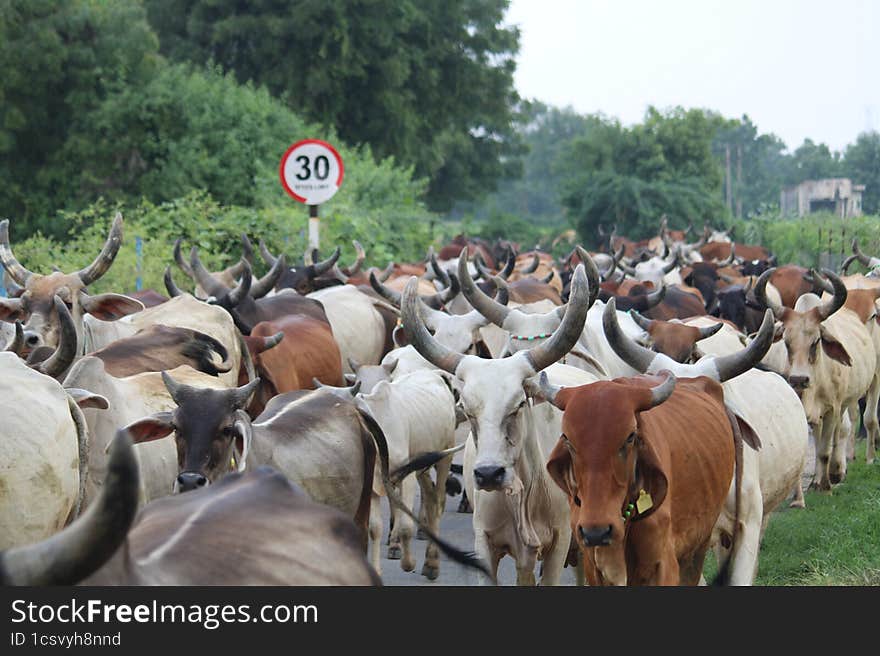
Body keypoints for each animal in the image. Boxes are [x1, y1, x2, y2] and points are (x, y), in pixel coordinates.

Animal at [544, 372, 736, 588]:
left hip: (698, 546)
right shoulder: (592, 567)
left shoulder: (664, 565)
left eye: (630, 437)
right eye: (567, 439)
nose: (597, 533)